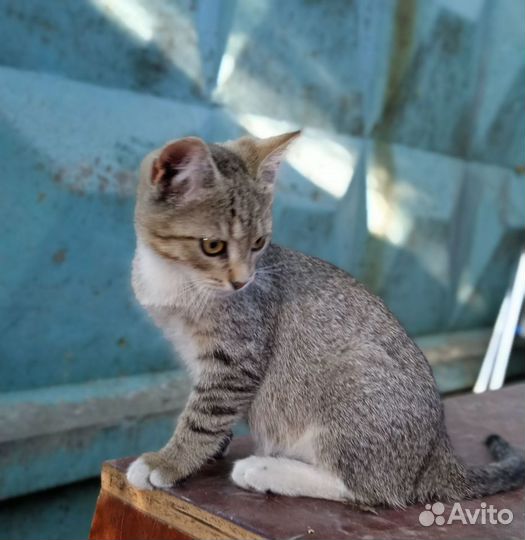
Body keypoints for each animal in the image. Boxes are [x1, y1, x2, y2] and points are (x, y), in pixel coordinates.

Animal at [127, 131, 524, 506]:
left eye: (258, 243)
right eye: (213, 246)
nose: (242, 281)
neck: (176, 279)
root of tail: (435, 453)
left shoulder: (237, 358)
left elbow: (203, 417)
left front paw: (169, 461)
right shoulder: (200, 357)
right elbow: (210, 411)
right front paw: (206, 451)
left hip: (352, 381)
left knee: (370, 488)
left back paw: (267, 469)